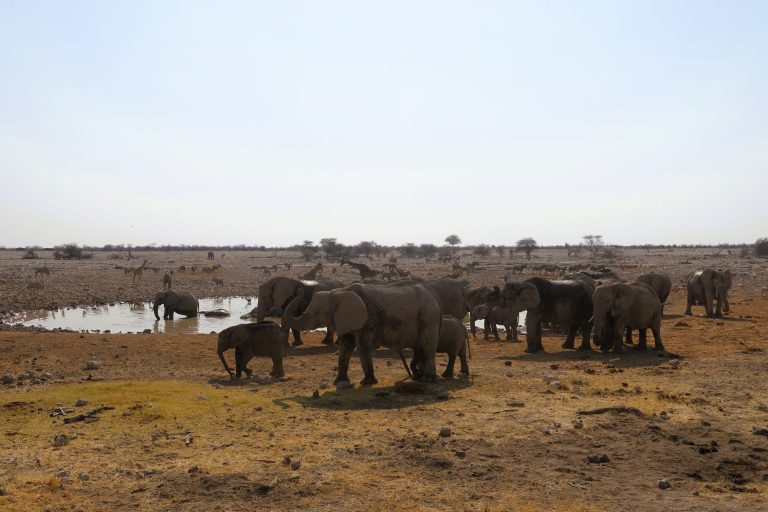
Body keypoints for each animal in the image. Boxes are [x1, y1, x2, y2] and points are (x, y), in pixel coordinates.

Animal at [283, 281, 441, 385]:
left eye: (316, 313)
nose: (300, 290)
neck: (337, 292)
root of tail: (434, 295)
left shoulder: (366, 319)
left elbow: (361, 346)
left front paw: (367, 382)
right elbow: (346, 346)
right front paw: (339, 382)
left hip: (429, 317)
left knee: (428, 345)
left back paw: (428, 379)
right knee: (421, 347)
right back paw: (419, 377)